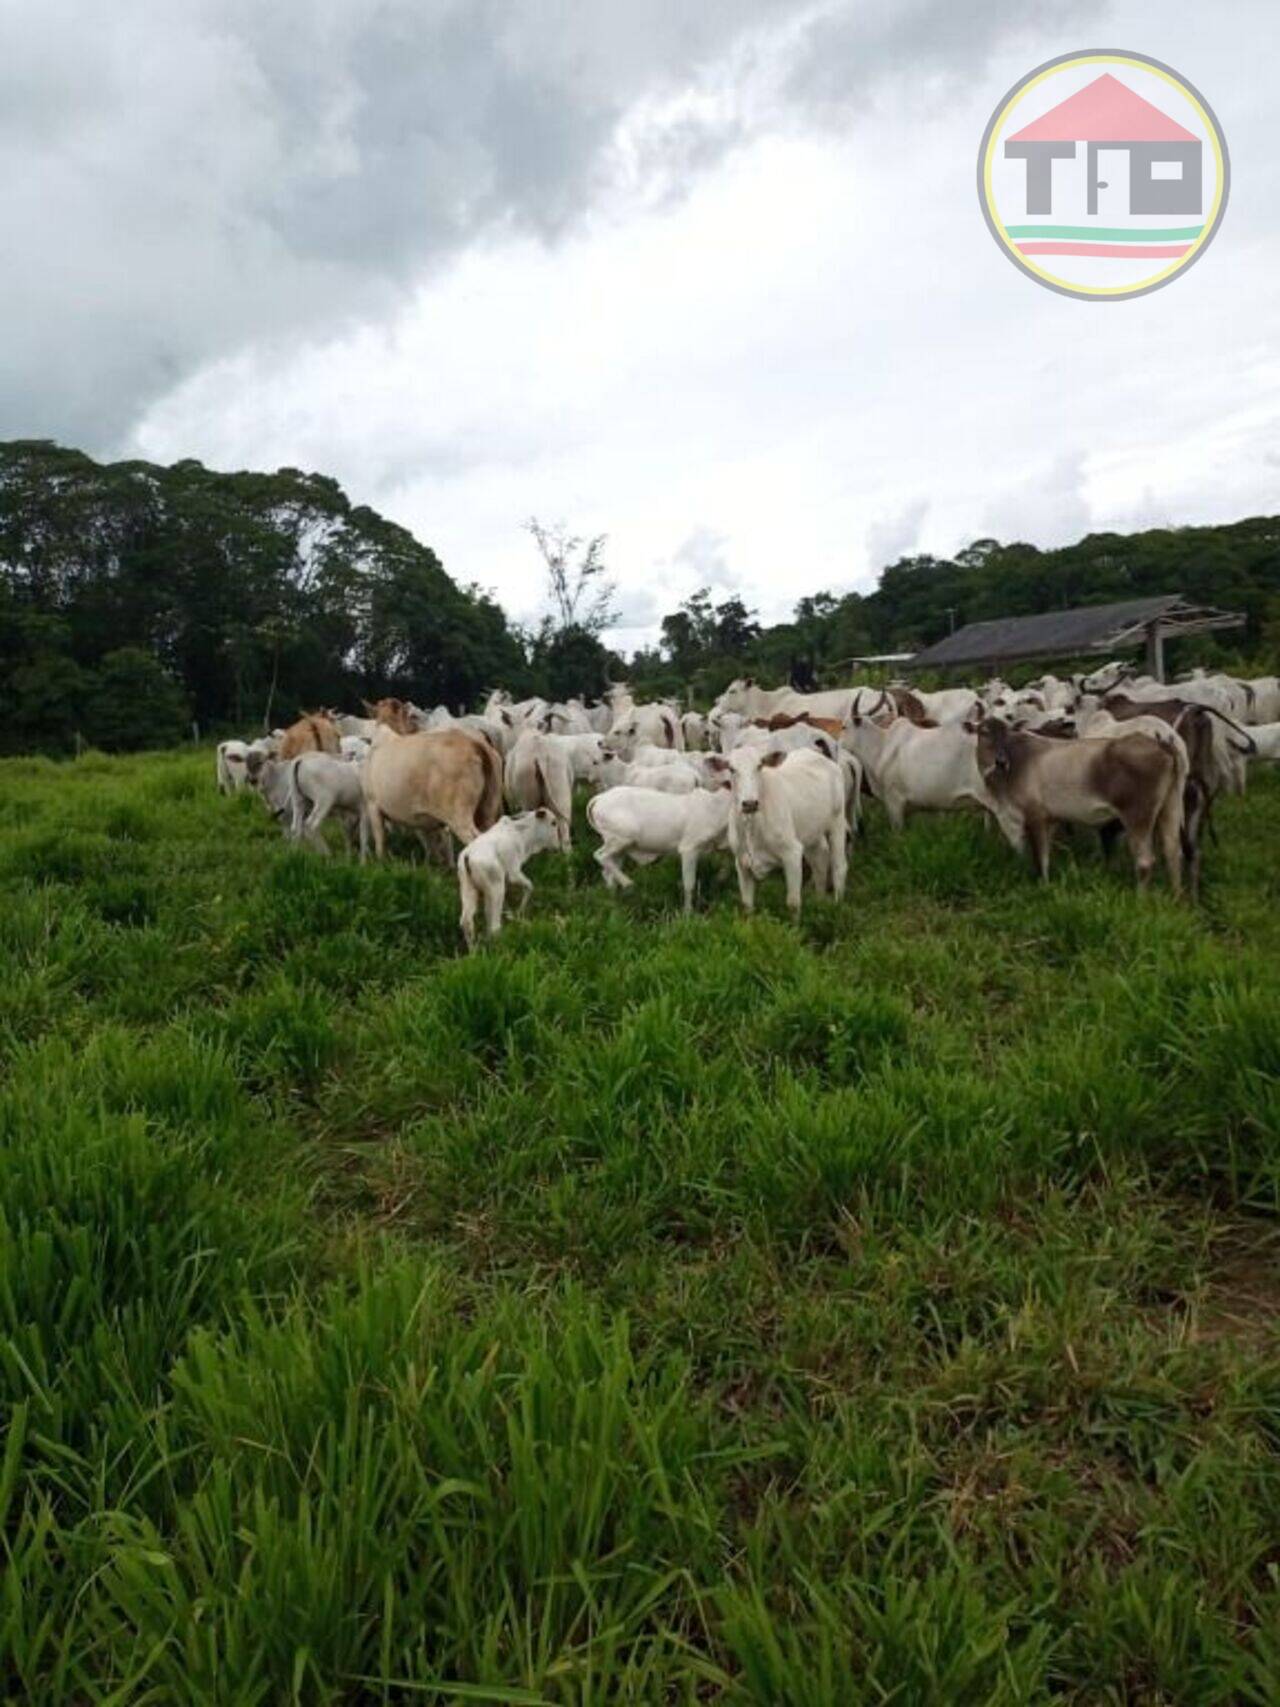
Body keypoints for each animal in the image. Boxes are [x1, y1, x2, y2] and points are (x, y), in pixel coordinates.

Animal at [363, 723, 505, 860]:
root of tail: (472, 743)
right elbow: (432, 845)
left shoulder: (373, 804)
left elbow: (380, 841)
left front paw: (381, 861)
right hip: (488, 811)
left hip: (459, 815)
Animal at [457, 809, 563, 949]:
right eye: (553, 822)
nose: (558, 847)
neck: (522, 835)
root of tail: (468, 855)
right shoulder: (514, 872)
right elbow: (530, 886)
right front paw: (519, 912)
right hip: (496, 888)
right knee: (494, 926)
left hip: (468, 889)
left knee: (467, 921)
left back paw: (474, 950)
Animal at [590, 781, 730, 914]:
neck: (715, 807)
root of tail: (600, 798)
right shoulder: (689, 849)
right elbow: (689, 884)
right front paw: (688, 913)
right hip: (621, 839)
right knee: (600, 856)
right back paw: (627, 883)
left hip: (620, 848)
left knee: (608, 872)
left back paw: (614, 899)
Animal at [727, 740, 846, 914]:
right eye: (731, 769)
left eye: (760, 766)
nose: (749, 803)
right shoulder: (742, 862)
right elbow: (747, 905)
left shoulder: (792, 853)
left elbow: (793, 903)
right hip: (811, 831)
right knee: (820, 858)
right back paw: (820, 901)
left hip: (837, 821)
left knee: (839, 867)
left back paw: (838, 906)